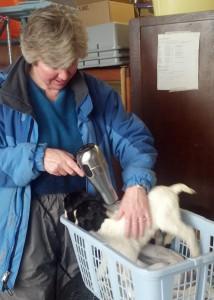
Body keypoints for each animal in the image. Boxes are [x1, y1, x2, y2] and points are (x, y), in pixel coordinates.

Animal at [63, 183, 201, 264]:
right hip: (170, 220)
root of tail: (171, 189)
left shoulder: (129, 255)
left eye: (81, 219)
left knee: (188, 231)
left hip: (166, 220)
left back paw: (195, 253)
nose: (74, 223)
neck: (105, 221)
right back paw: (167, 239)